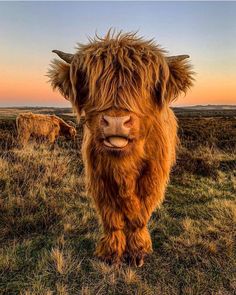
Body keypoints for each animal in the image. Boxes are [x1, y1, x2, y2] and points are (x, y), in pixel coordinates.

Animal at [48, 31, 194, 268]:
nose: (116, 122)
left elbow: (139, 216)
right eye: (92, 84)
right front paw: (111, 253)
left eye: (145, 85)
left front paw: (137, 252)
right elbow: (111, 217)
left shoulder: (152, 178)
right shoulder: (99, 178)